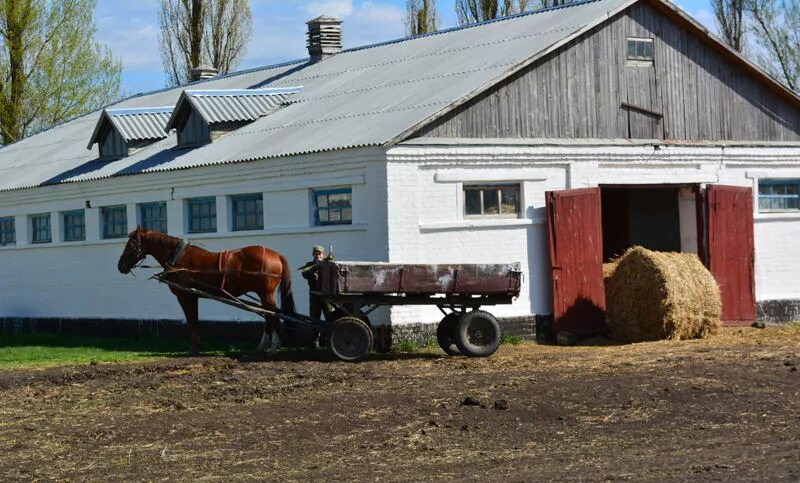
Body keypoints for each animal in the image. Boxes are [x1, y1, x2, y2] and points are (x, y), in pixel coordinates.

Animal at [117, 227, 296, 356]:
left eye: (131, 244)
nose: (120, 265)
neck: (178, 258)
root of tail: (276, 255)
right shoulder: (194, 296)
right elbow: (194, 320)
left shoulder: (186, 296)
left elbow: (192, 321)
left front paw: (194, 348)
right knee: (269, 314)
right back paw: (265, 345)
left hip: (265, 294)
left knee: (272, 314)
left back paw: (272, 346)